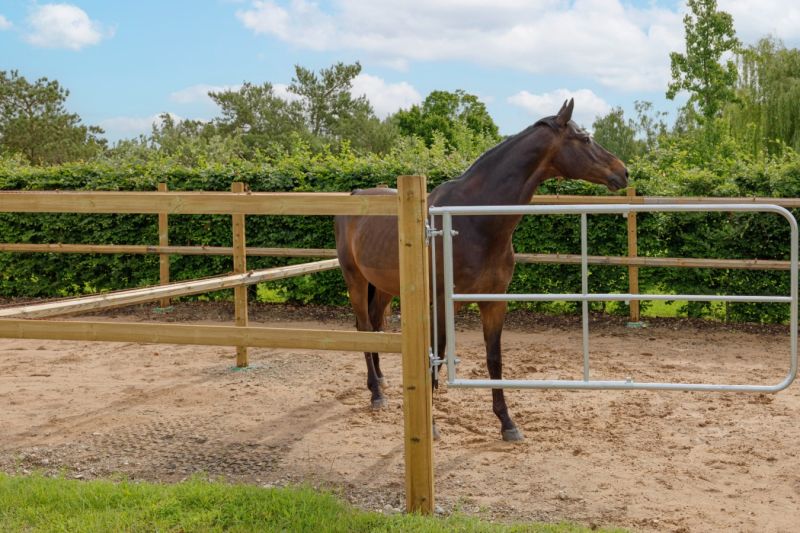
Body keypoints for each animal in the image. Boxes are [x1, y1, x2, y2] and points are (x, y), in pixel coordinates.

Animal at [334, 99, 627, 441]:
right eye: (585, 138)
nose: (623, 171)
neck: (474, 221)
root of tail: (354, 196)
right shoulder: (441, 304)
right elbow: (437, 357)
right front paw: (431, 425)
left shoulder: (494, 301)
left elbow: (494, 359)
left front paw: (507, 423)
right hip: (355, 280)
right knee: (364, 326)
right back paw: (376, 393)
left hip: (384, 287)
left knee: (377, 326)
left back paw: (381, 380)